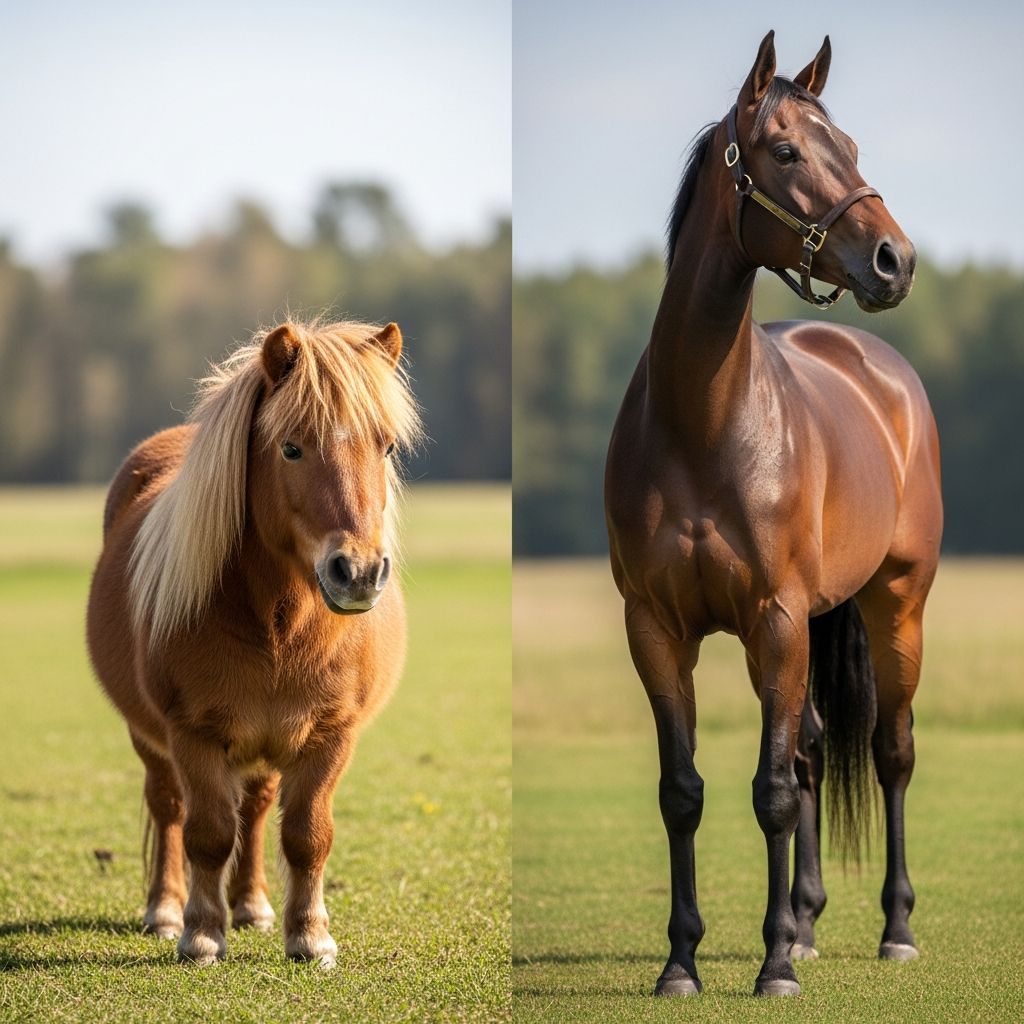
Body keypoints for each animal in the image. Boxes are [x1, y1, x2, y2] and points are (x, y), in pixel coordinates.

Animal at [86, 318, 421, 967]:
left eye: (387, 447)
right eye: (291, 447)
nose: (359, 572)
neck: (280, 627)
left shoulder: (330, 735)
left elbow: (307, 834)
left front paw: (309, 936)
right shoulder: (192, 735)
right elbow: (208, 834)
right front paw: (200, 934)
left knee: (259, 808)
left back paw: (253, 906)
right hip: (153, 738)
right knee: (168, 806)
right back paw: (165, 910)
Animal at [604, 32, 942, 996]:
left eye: (852, 147)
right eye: (786, 151)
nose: (895, 261)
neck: (703, 426)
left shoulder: (777, 620)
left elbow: (773, 792)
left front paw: (774, 966)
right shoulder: (656, 628)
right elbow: (685, 792)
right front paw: (683, 961)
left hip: (896, 605)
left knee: (890, 751)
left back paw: (893, 928)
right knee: (818, 748)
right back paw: (809, 919)